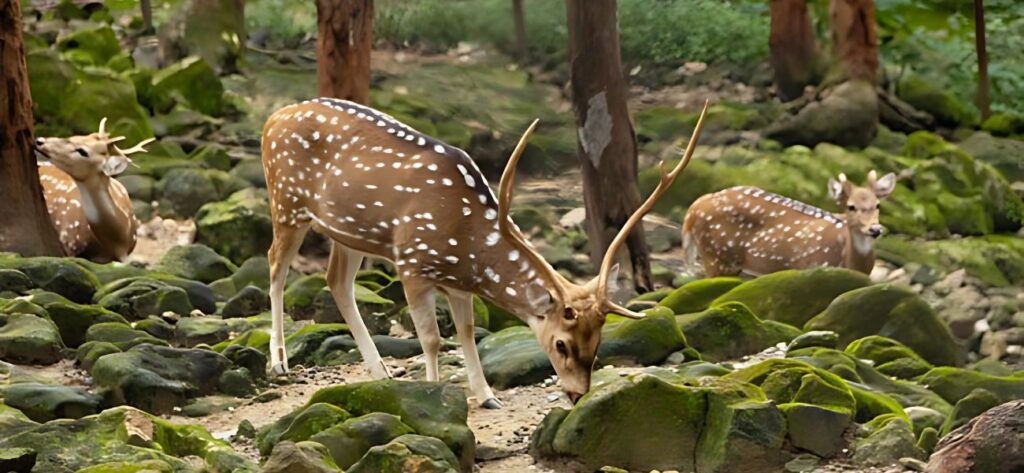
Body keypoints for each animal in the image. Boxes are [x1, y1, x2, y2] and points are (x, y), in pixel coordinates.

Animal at [261, 98, 707, 407]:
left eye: (598, 339)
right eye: (561, 344)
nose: (578, 394)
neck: (466, 245)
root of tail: (272, 119)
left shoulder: (458, 284)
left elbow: (467, 333)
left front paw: (488, 395)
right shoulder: (411, 260)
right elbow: (431, 338)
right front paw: (432, 390)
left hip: (346, 232)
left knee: (336, 281)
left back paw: (381, 371)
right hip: (286, 203)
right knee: (275, 267)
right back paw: (279, 361)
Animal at [682, 170, 897, 277]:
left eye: (878, 204)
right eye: (850, 206)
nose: (875, 229)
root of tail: (693, 208)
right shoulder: (812, 268)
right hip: (716, 254)